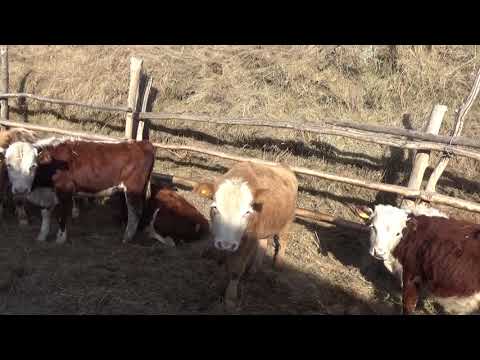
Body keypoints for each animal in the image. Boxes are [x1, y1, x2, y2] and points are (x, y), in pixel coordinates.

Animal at [4, 136, 155, 243]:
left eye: (33, 166)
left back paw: (127, 237)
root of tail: (141, 143)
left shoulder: (65, 191)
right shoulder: (47, 194)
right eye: (8, 165)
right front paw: (42, 236)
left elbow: (62, 214)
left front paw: (60, 238)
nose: (21, 190)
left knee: (135, 211)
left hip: (133, 188)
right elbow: (45, 215)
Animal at [193, 162, 298, 308]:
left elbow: (236, 269)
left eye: (247, 212)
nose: (226, 244)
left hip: (287, 222)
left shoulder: (247, 240)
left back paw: (278, 264)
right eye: (215, 208)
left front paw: (230, 298)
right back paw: (254, 269)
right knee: (263, 244)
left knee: (283, 242)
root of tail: (284, 167)